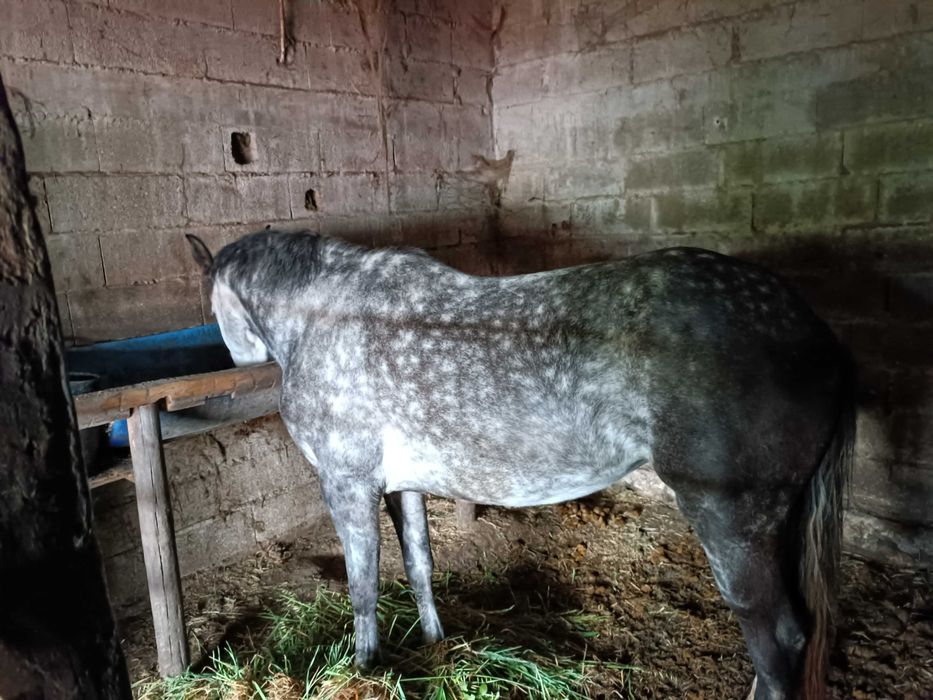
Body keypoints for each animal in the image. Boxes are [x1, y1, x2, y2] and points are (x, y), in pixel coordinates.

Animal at [186, 230, 854, 700]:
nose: (235, 365)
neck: (323, 315)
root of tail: (811, 330)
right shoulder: (402, 487)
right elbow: (420, 567)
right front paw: (437, 649)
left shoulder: (346, 486)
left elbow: (363, 587)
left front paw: (364, 668)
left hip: (730, 520)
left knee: (776, 643)